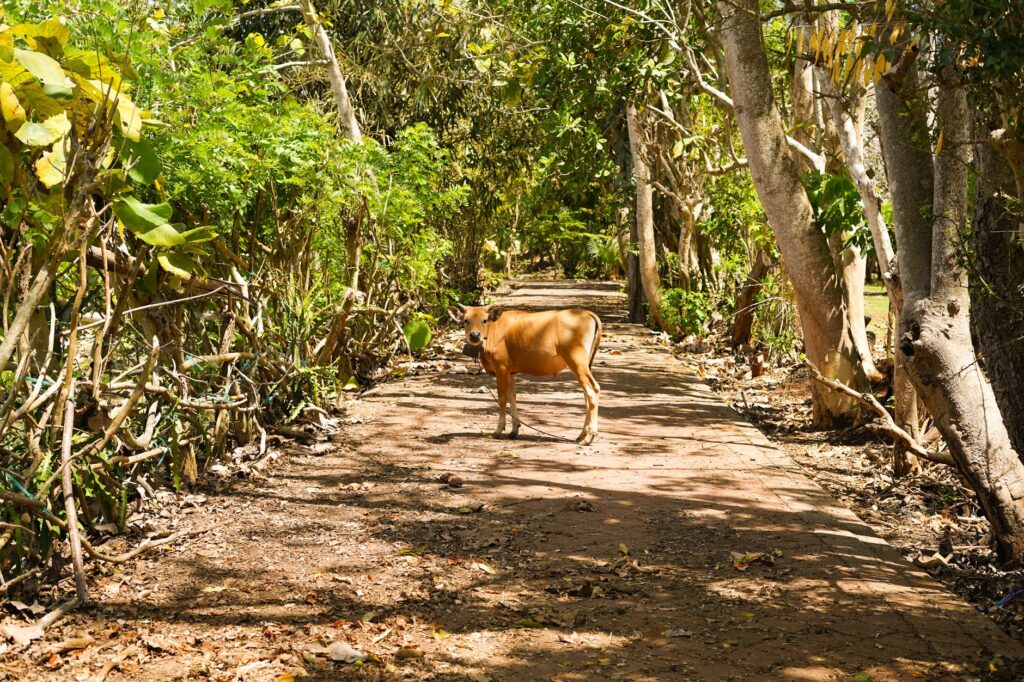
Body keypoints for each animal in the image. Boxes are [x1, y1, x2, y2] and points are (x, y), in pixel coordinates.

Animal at [448, 303, 602, 445]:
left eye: (485, 320)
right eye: (466, 320)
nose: (474, 335)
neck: (492, 331)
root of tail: (587, 313)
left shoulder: (501, 368)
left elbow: (502, 398)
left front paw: (498, 430)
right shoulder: (510, 372)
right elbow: (512, 398)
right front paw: (514, 430)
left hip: (577, 361)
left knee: (592, 392)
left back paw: (590, 436)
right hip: (584, 364)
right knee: (588, 393)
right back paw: (582, 435)